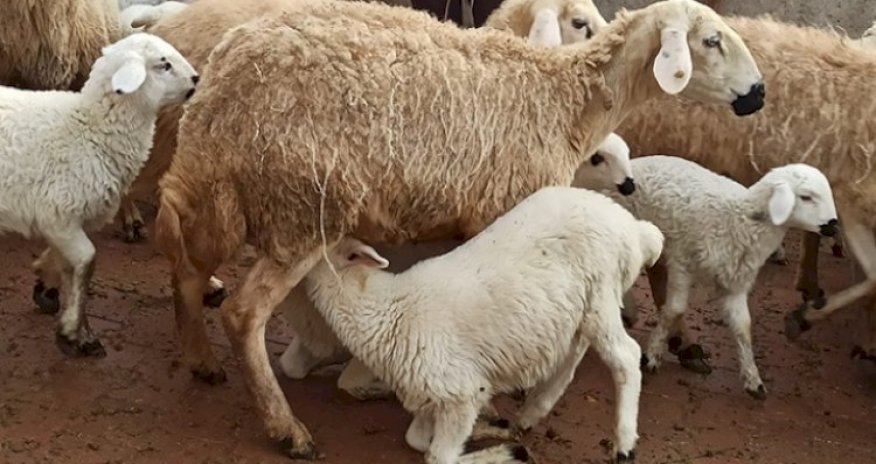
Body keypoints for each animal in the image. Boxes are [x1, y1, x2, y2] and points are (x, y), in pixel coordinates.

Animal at [2, 33, 199, 356]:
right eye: (163, 64)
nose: (197, 78)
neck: (89, 128)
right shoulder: (59, 216)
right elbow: (87, 262)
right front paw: (71, 330)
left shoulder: (66, 224)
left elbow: (69, 270)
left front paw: (77, 329)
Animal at [303, 186, 664, 463]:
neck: (387, 310)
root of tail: (632, 229)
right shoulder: (430, 398)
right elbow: (415, 440)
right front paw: (492, 428)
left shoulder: (460, 393)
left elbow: (437, 457)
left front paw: (506, 452)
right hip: (577, 310)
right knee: (572, 356)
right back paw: (530, 414)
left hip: (602, 292)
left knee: (625, 357)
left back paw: (624, 443)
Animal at [581, 156, 838, 399]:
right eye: (806, 197)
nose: (834, 227)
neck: (738, 218)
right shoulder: (682, 262)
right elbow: (675, 309)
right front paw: (652, 355)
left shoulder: (735, 284)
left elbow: (744, 327)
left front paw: (753, 380)